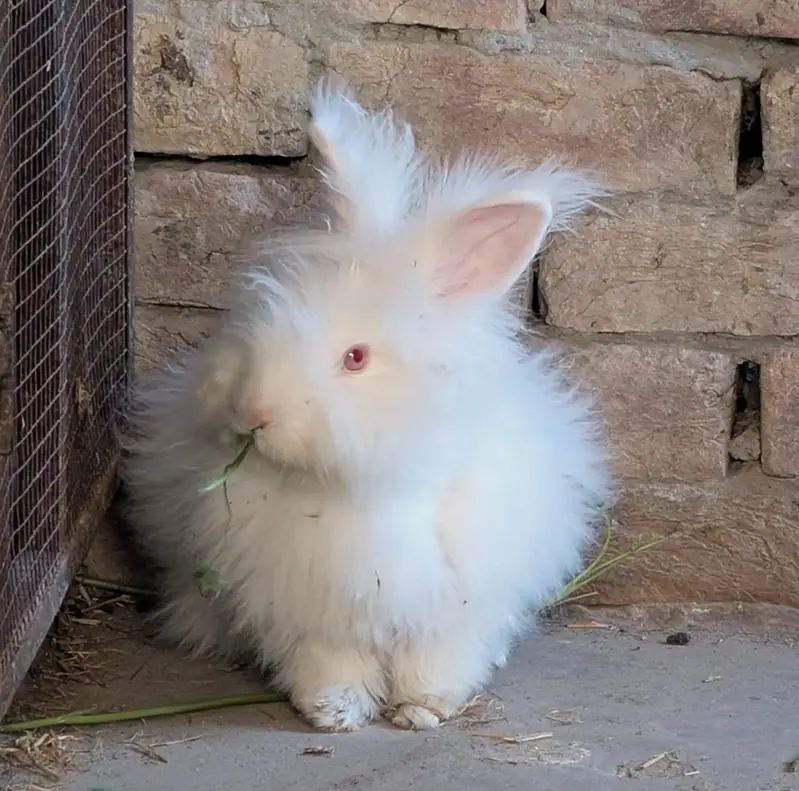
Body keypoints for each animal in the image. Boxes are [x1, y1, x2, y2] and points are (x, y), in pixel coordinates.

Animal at [121, 78, 612, 732]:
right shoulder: (312, 607)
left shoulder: (458, 602)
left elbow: (437, 660)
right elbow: (330, 661)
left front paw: (422, 710)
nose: (252, 412)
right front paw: (336, 712)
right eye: (263, 320)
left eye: (355, 358)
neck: (366, 494)